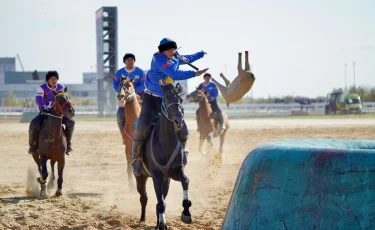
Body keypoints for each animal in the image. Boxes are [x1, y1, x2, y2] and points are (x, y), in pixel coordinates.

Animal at [136, 82, 192, 230]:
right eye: (166, 98)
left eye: (181, 99)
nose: (179, 121)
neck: (166, 142)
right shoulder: (157, 176)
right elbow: (160, 203)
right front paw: (162, 224)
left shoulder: (176, 171)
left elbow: (185, 181)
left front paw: (186, 213)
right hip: (141, 177)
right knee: (144, 197)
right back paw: (142, 219)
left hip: (166, 181)